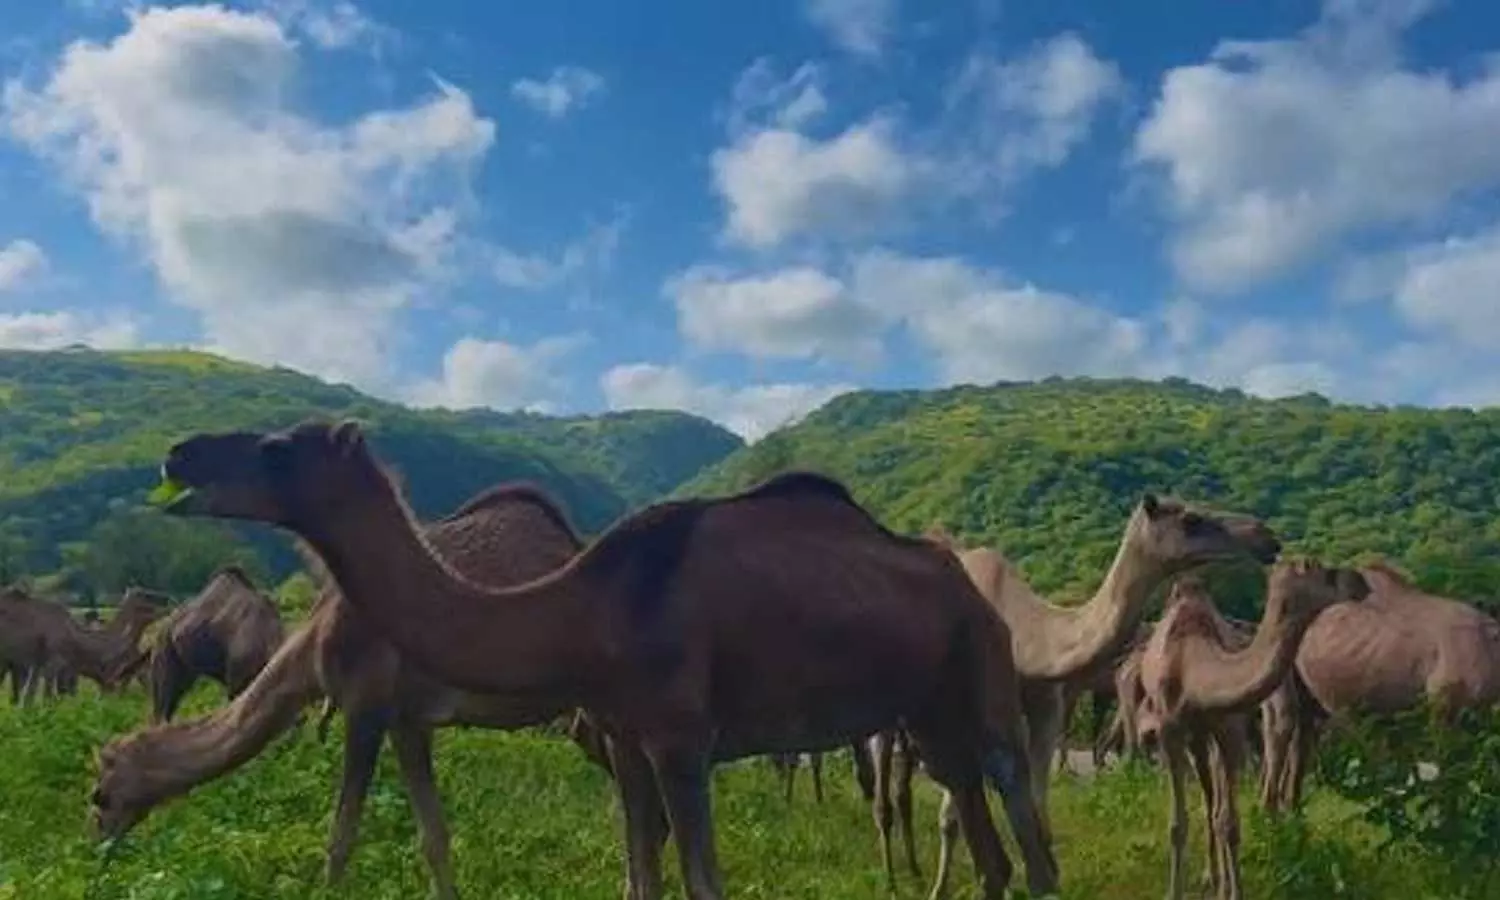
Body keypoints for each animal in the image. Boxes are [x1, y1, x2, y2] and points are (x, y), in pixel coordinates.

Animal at [1136, 563, 1369, 900]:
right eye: (1325, 573)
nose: (1362, 583)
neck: (1191, 667)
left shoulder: (1228, 728)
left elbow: (1229, 822)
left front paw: (1233, 892)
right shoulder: (1170, 730)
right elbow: (1178, 825)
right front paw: (1174, 893)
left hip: (1209, 736)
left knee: (1214, 801)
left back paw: (1217, 880)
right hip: (1194, 738)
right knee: (1207, 798)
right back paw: (1210, 877)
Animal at [1259, 561, 1500, 814]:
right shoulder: (1445, 706)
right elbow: (1447, 767)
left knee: (1303, 732)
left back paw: (1292, 810)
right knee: (1283, 724)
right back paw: (1271, 814)